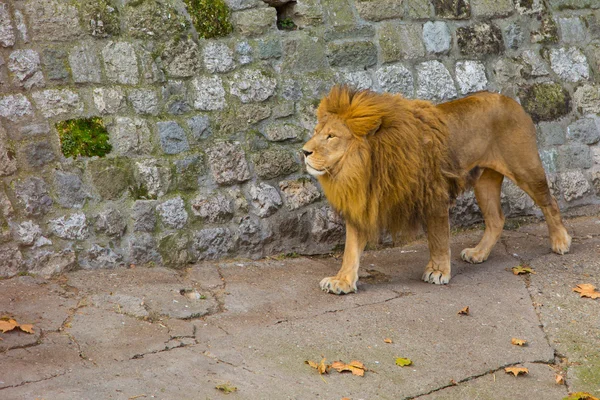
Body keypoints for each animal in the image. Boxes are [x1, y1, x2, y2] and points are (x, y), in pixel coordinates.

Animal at [302, 86, 568, 294]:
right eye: (315, 133)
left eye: (331, 136)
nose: (304, 151)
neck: (364, 167)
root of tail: (511, 100)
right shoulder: (363, 202)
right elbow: (351, 249)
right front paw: (342, 281)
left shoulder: (434, 194)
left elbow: (438, 238)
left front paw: (438, 271)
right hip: (484, 182)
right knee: (496, 219)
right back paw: (478, 253)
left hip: (524, 168)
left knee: (550, 202)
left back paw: (561, 242)